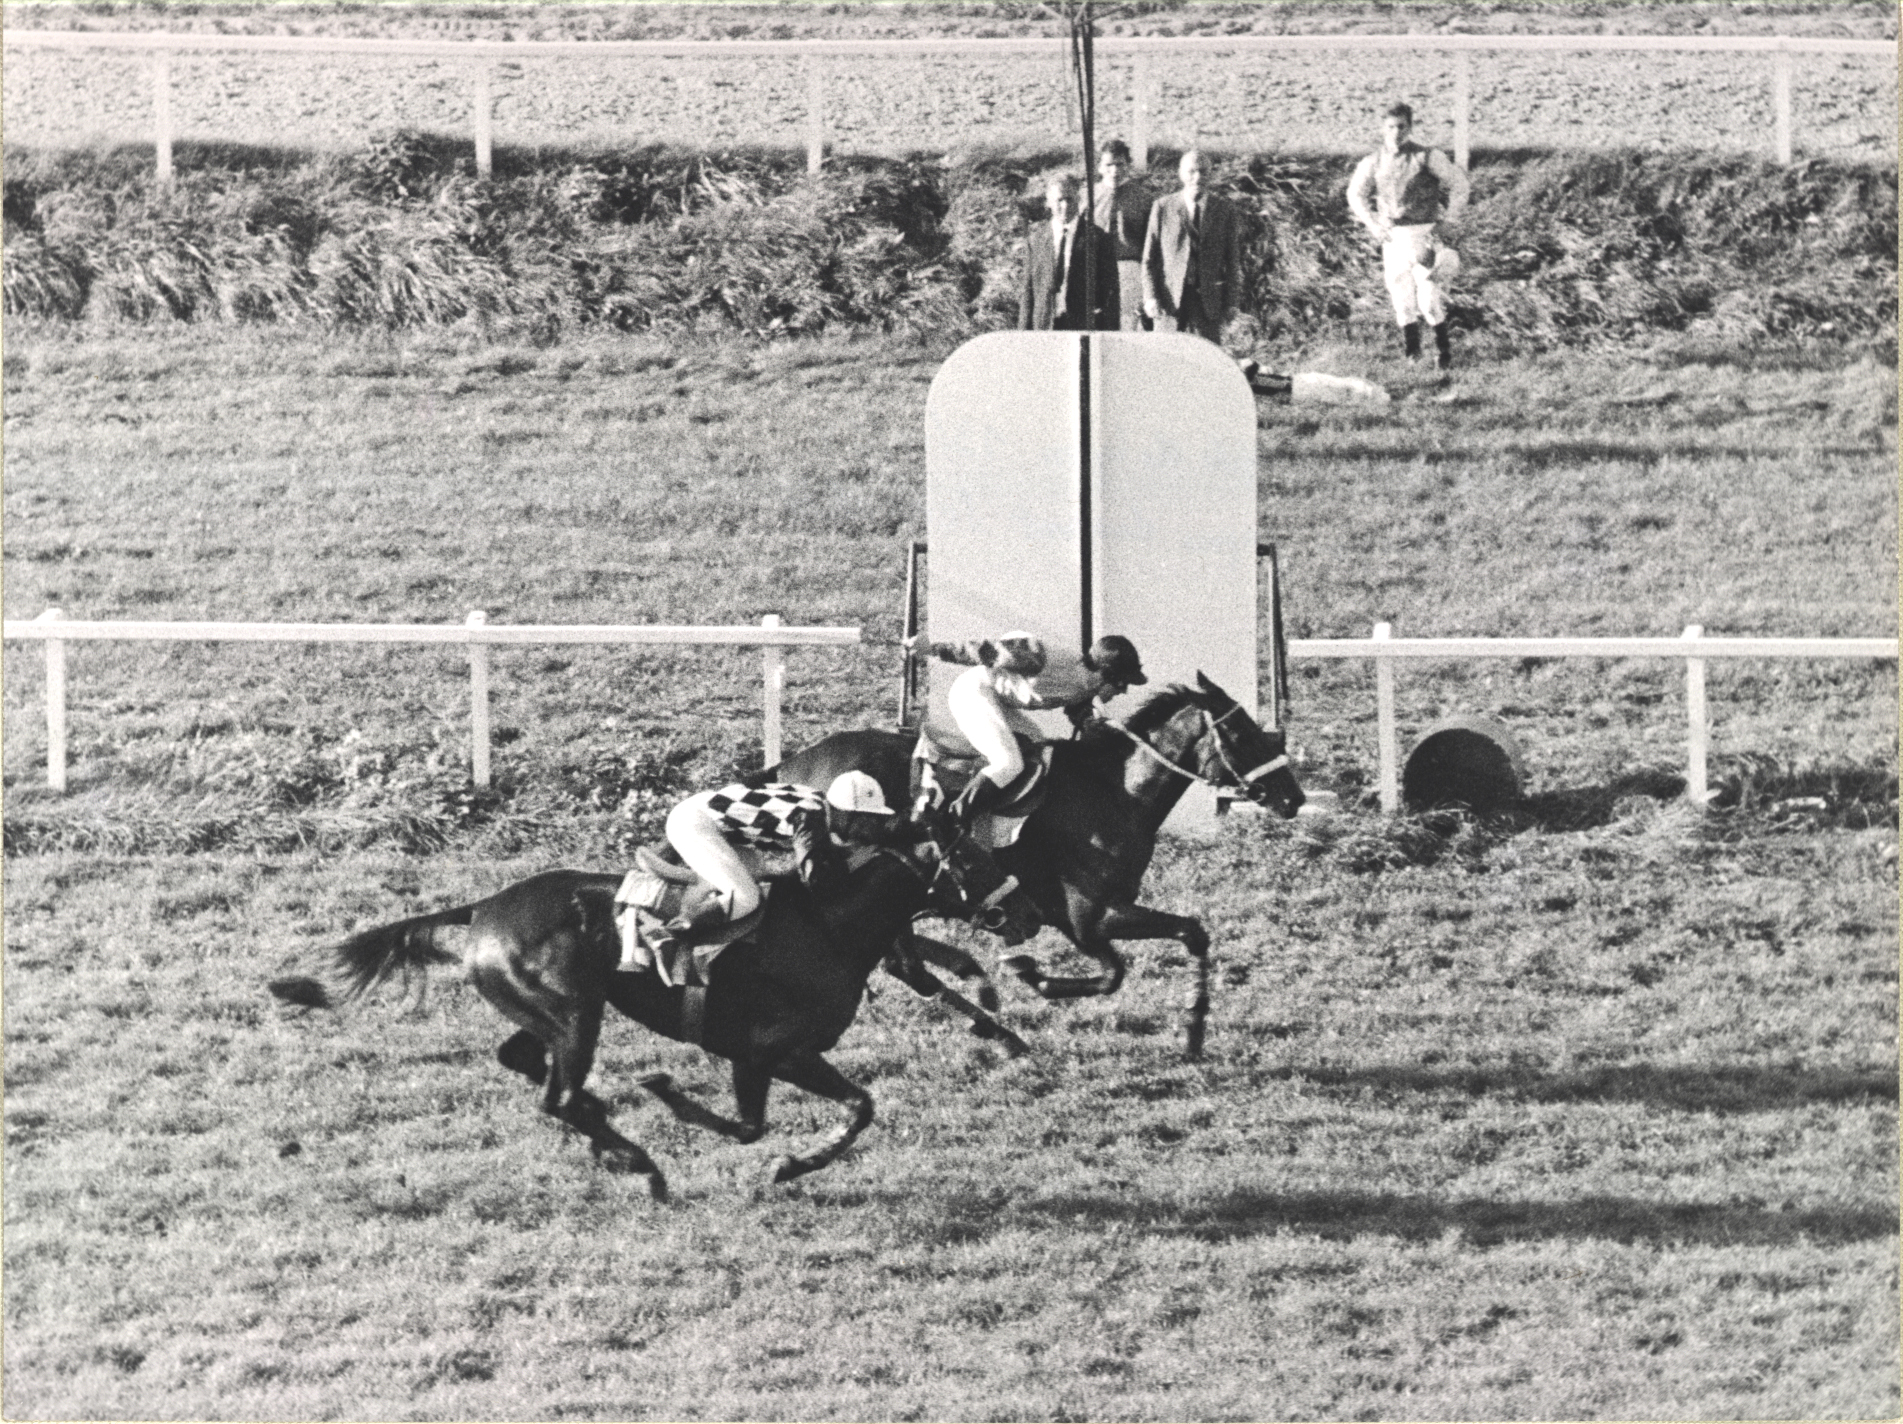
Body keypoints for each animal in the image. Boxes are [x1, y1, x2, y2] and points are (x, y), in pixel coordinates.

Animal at [266, 833, 1035, 1203]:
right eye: (971, 859)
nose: (1026, 910)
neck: (829, 926)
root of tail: (483, 907)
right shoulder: (768, 1053)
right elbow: (786, 1121)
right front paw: (761, 1150)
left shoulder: (771, 1057)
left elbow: (832, 1113)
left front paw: (788, 1162)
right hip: (575, 1014)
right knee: (558, 1095)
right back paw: (639, 1164)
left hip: (553, 1011)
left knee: (527, 1064)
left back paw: (608, 1138)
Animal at [765, 677, 1301, 1058]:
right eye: (1241, 734)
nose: (1292, 797)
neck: (1115, 793)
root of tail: (791, 768)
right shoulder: (1086, 917)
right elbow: (1120, 970)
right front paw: (1027, 971)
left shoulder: (1098, 914)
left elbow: (1189, 935)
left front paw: (1192, 1030)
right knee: (904, 964)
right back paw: (995, 1021)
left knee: (906, 960)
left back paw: (980, 996)